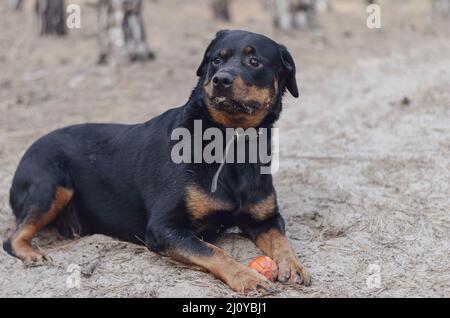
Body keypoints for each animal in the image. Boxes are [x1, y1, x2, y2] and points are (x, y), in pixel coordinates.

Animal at [3, 29, 312, 294]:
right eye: (216, 59)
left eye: (254, 61)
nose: (221, 79)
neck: (229, 143)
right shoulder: (165, 227)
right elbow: (214, 250)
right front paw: (246, 276)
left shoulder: (266, 219)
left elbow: (282, 241)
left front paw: (294, 266)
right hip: (51, 184)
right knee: (12, 238)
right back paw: (31, 253)